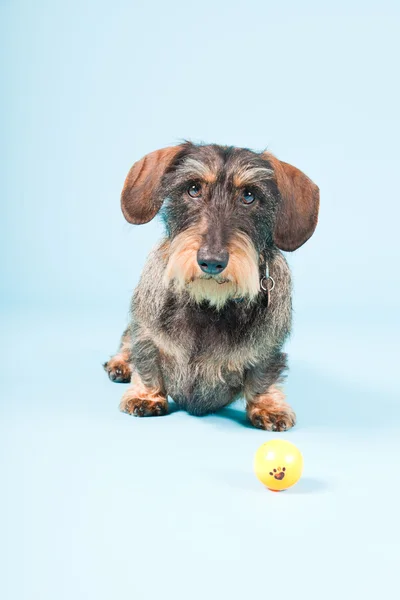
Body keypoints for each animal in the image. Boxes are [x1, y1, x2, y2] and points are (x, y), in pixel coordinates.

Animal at [103, 142, 318, 428]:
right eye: (193, 189)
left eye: (249, 195)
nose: (212, 262)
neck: (209, 304)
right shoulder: (147, 332)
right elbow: (146, 360)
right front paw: (146, 395)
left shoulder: (268, 349)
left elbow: (262, 377)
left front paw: (268, 407)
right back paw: (120, 364)